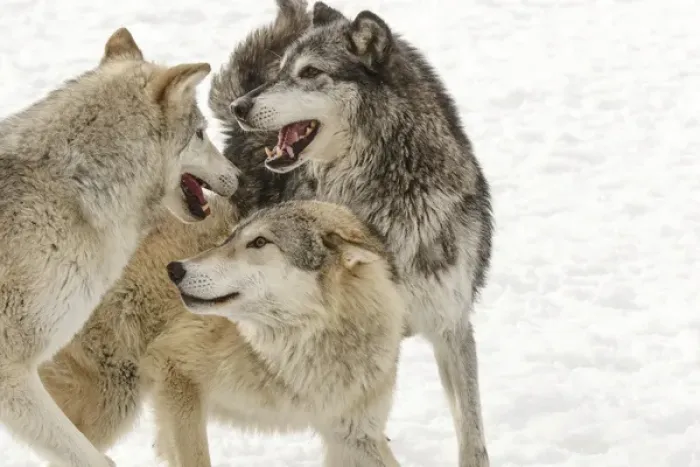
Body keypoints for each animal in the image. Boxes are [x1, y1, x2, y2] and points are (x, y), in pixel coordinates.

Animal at [214, 1, 495, 465]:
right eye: (282, 69)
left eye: (310, 72)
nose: (241, 106)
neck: (385, 195)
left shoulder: (451, 326)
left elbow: (472, 435)